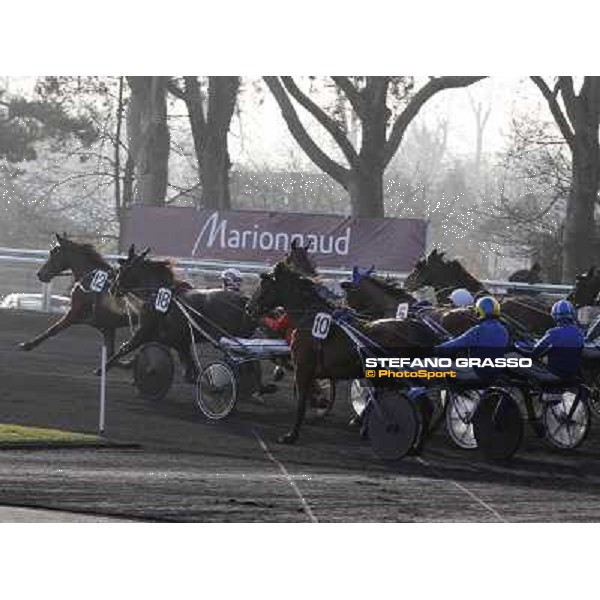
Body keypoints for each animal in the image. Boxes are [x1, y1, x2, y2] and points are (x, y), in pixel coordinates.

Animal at [246, 262, 438, 446]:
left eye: (263, 283)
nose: (249, 307)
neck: (309, 319)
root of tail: (422, 329)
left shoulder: (303, 369)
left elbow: (301, 403)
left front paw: (291, 436)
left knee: (425, 406)